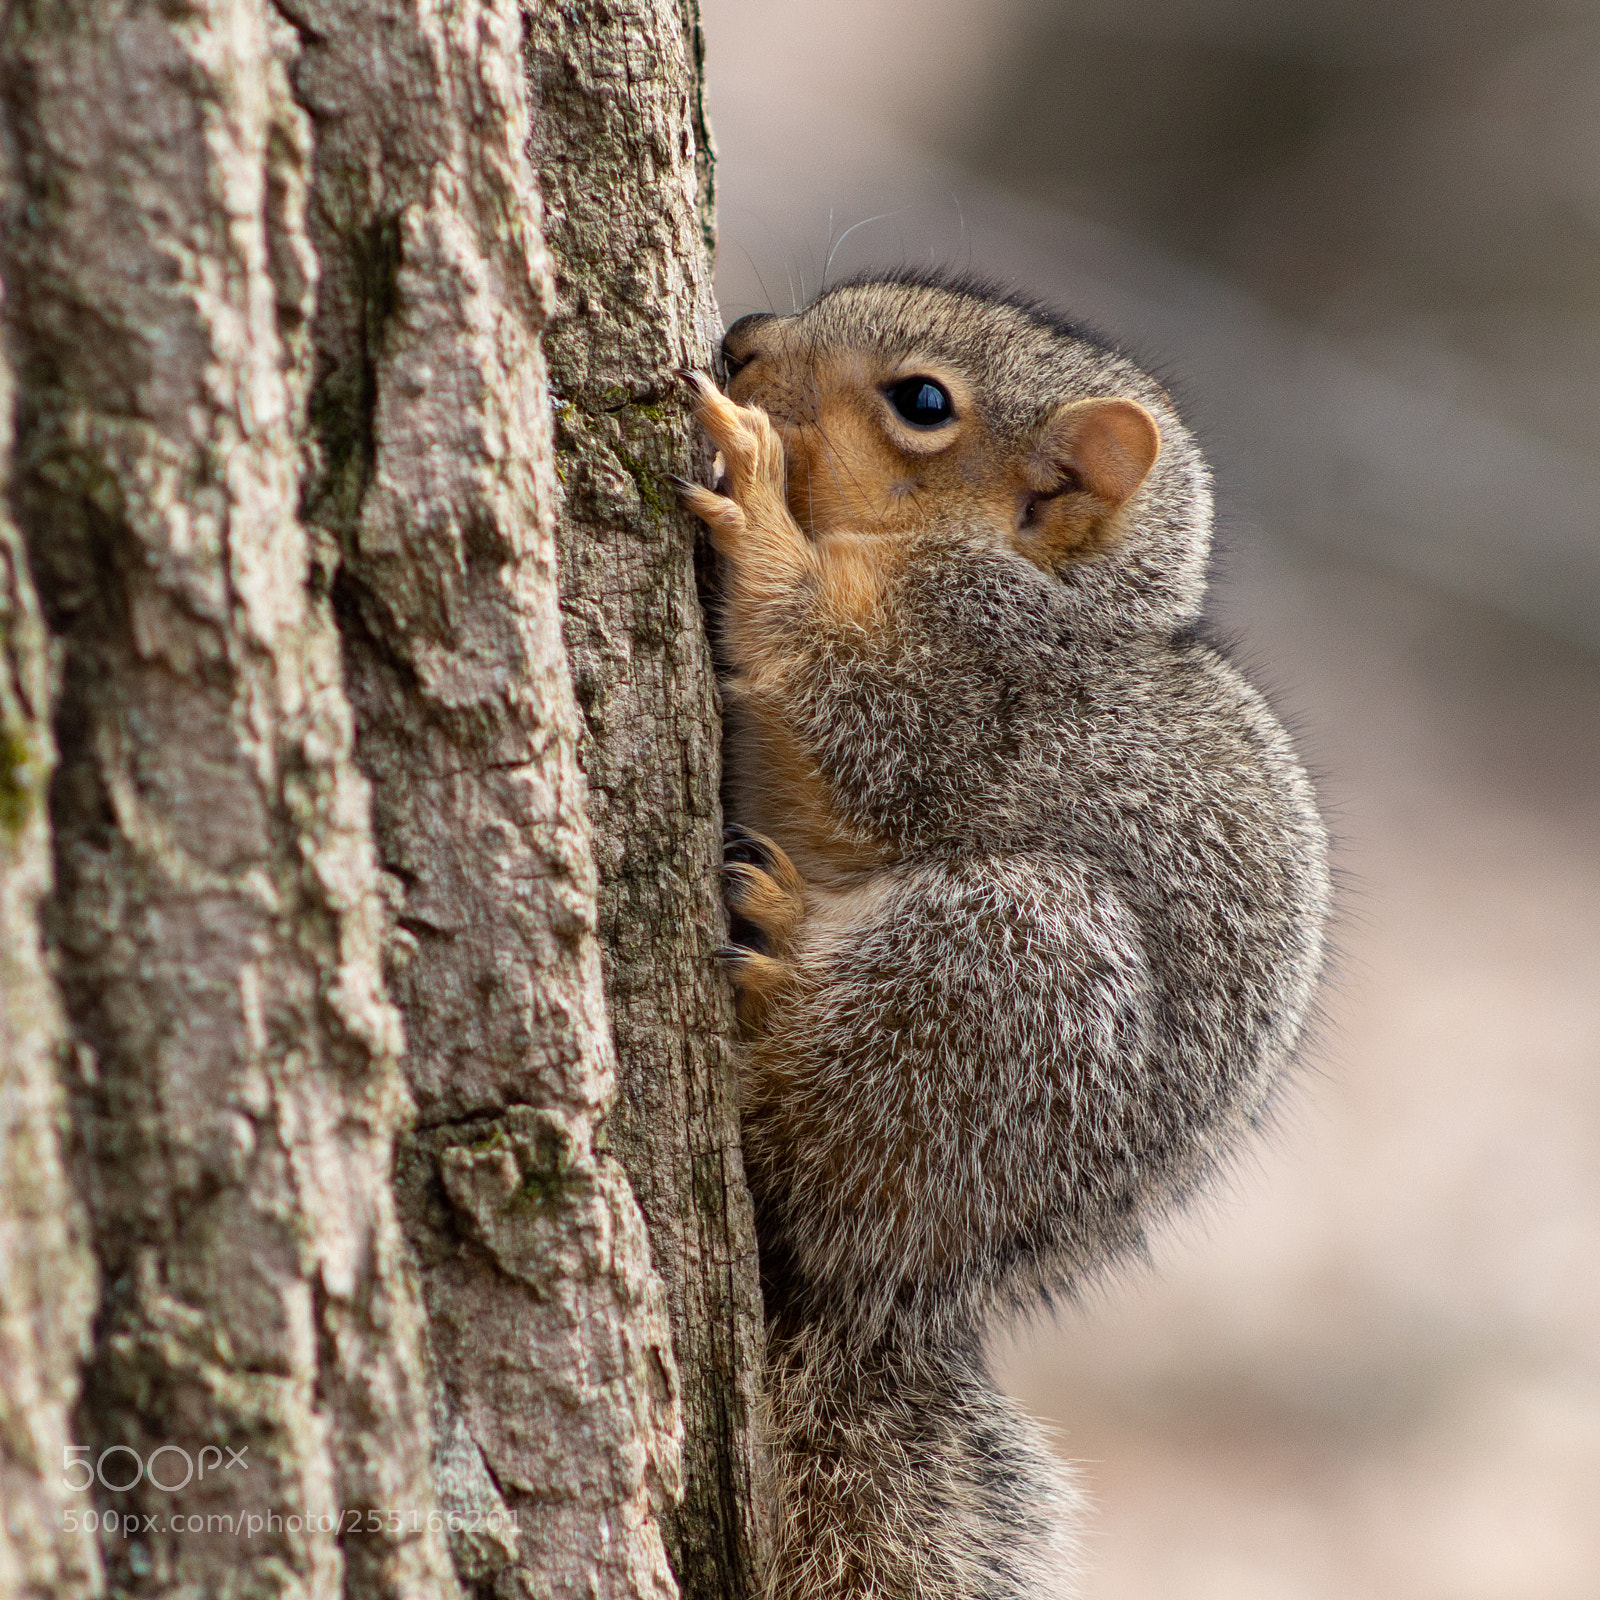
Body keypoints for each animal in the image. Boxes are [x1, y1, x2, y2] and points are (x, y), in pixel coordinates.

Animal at [678, 269, 1331, 1600]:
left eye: (922, 403)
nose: (744, 342)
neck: (1048, 590)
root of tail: (887, 1278)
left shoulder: (973, 685)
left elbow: (860, 703)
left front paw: (756, 502)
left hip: (1008, 971)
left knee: (799, 1134)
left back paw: (775, 968)